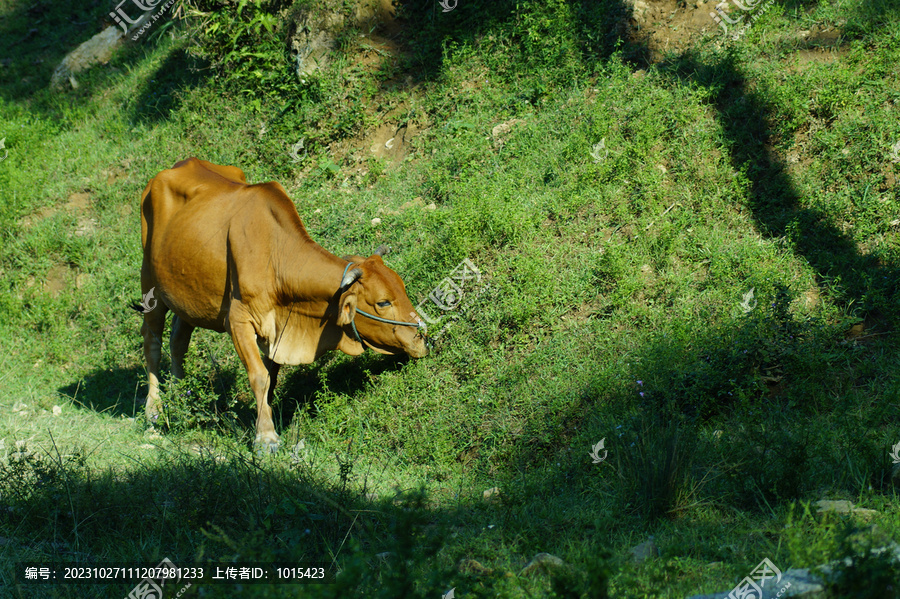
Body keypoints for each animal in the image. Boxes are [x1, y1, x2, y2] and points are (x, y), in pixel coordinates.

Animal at [137, 159, 426, 450]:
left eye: (402, 288)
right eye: (383, 302)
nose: (421, 338)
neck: (274, 255)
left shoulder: (277, 329)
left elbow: (271, 377)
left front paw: (265, 420)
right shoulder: (238, 321)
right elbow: (259, 376)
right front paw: (266, 436)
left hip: (186, 297)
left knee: (178, 343)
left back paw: (179, 399)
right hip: (150, 285)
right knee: (152, 343)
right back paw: (154, 410)